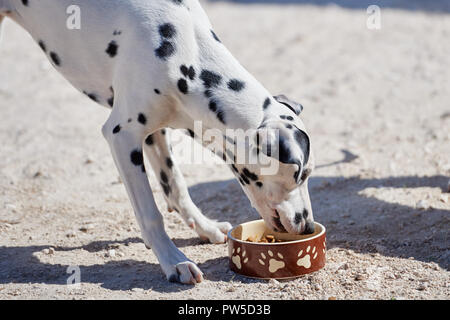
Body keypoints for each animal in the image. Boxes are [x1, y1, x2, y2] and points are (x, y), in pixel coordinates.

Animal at [0, 0, 314, 284]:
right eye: (300, 175)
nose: (308, 226)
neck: (183, 52)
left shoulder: (155, 132)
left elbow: (175, 185)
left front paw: (204, 226)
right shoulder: (121, 135)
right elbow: (151, 214)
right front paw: (174, 261)